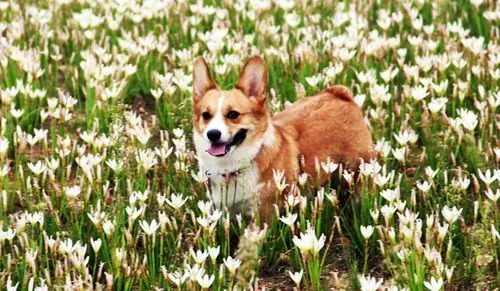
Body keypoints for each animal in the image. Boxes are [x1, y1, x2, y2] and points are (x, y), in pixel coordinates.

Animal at [193, 56, 374, 221]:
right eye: (206, 115)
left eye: (233, 114)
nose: (213, 134)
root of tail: (339, 93)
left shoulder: (263, 213)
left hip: (358, 171)